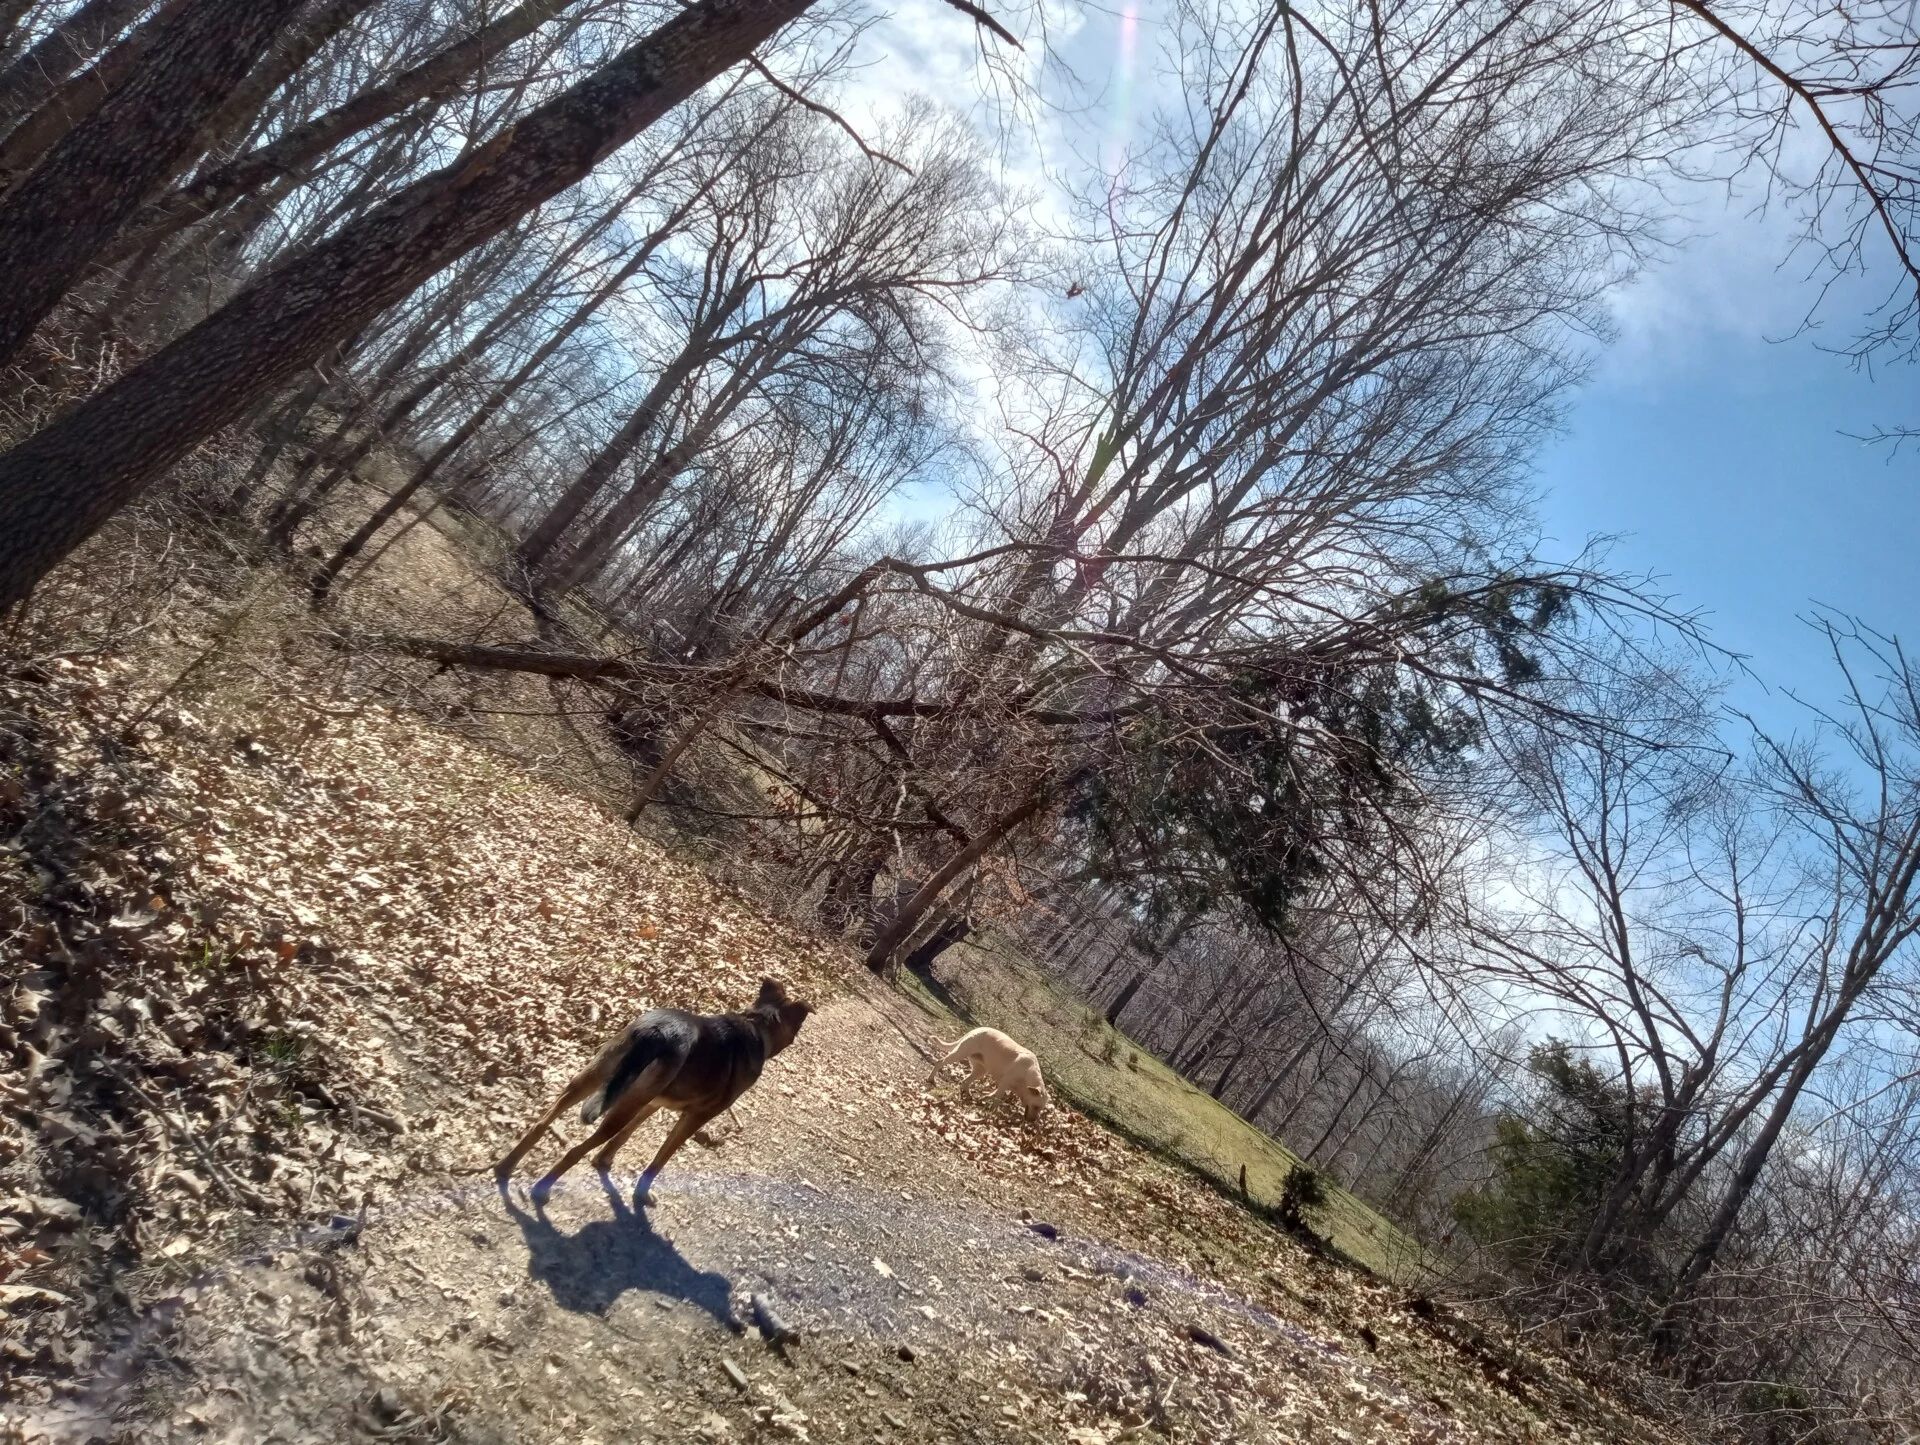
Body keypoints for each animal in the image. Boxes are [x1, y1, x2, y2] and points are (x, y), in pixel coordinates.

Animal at [495, 974, 810, 1197]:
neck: (758, 1026)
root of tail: (657, 1031)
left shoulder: (652, 1101)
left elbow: (625, 1136)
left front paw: (604, 1161)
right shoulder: (695, 1117)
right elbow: (660, 1159)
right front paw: (643, 1193)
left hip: (597, 1079)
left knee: (542, 1122)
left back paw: (504, 1168)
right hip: (618, 1103)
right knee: (575, 1149)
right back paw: (542, 1189)